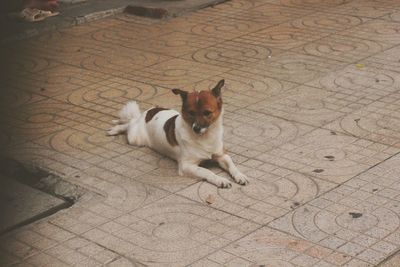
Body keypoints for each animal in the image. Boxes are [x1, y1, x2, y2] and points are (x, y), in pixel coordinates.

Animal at [108, 79, 248, 188]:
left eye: (207, 112)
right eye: (191, 113)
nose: (196, 128)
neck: (205, 137)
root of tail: (146, 114)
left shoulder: (222, 155)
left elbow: (232, 165)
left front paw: (240, 175)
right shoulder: (187, 166)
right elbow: (207, 172)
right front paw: (220, 180)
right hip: (135, 138)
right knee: (129, 124)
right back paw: (115, 129)